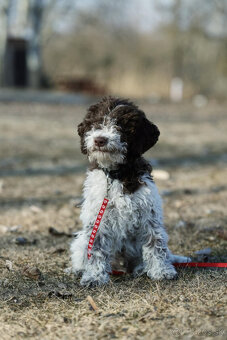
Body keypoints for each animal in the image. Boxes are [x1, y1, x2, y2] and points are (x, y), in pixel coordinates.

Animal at [69, 97, 190, 286]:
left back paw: (141, 269)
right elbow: (96, 248)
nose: (100, 140)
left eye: (121, 126)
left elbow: (155, 244)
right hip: (82, 240)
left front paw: (162, 271)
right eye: (96, 123)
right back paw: (79, 269)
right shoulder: (98, 220)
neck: (116, 175)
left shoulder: (149, 215)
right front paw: (94, 276)